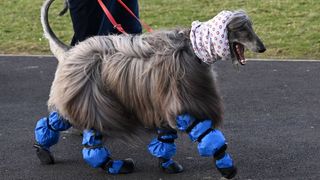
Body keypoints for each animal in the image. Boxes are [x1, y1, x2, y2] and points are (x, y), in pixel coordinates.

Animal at [33, 0, 266, 178]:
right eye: (244, 30)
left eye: (251, 28)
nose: (263, 48)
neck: (193, 48)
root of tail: (71, 51)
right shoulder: (183, 99)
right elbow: (206, 133)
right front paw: (227, 168)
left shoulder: (163, 100)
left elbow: (166, 137)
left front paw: (166, 163)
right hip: (91, 98)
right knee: (84, 136)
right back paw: (114, 165)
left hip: (88, 97)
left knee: (62, 122)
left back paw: (44, 149)